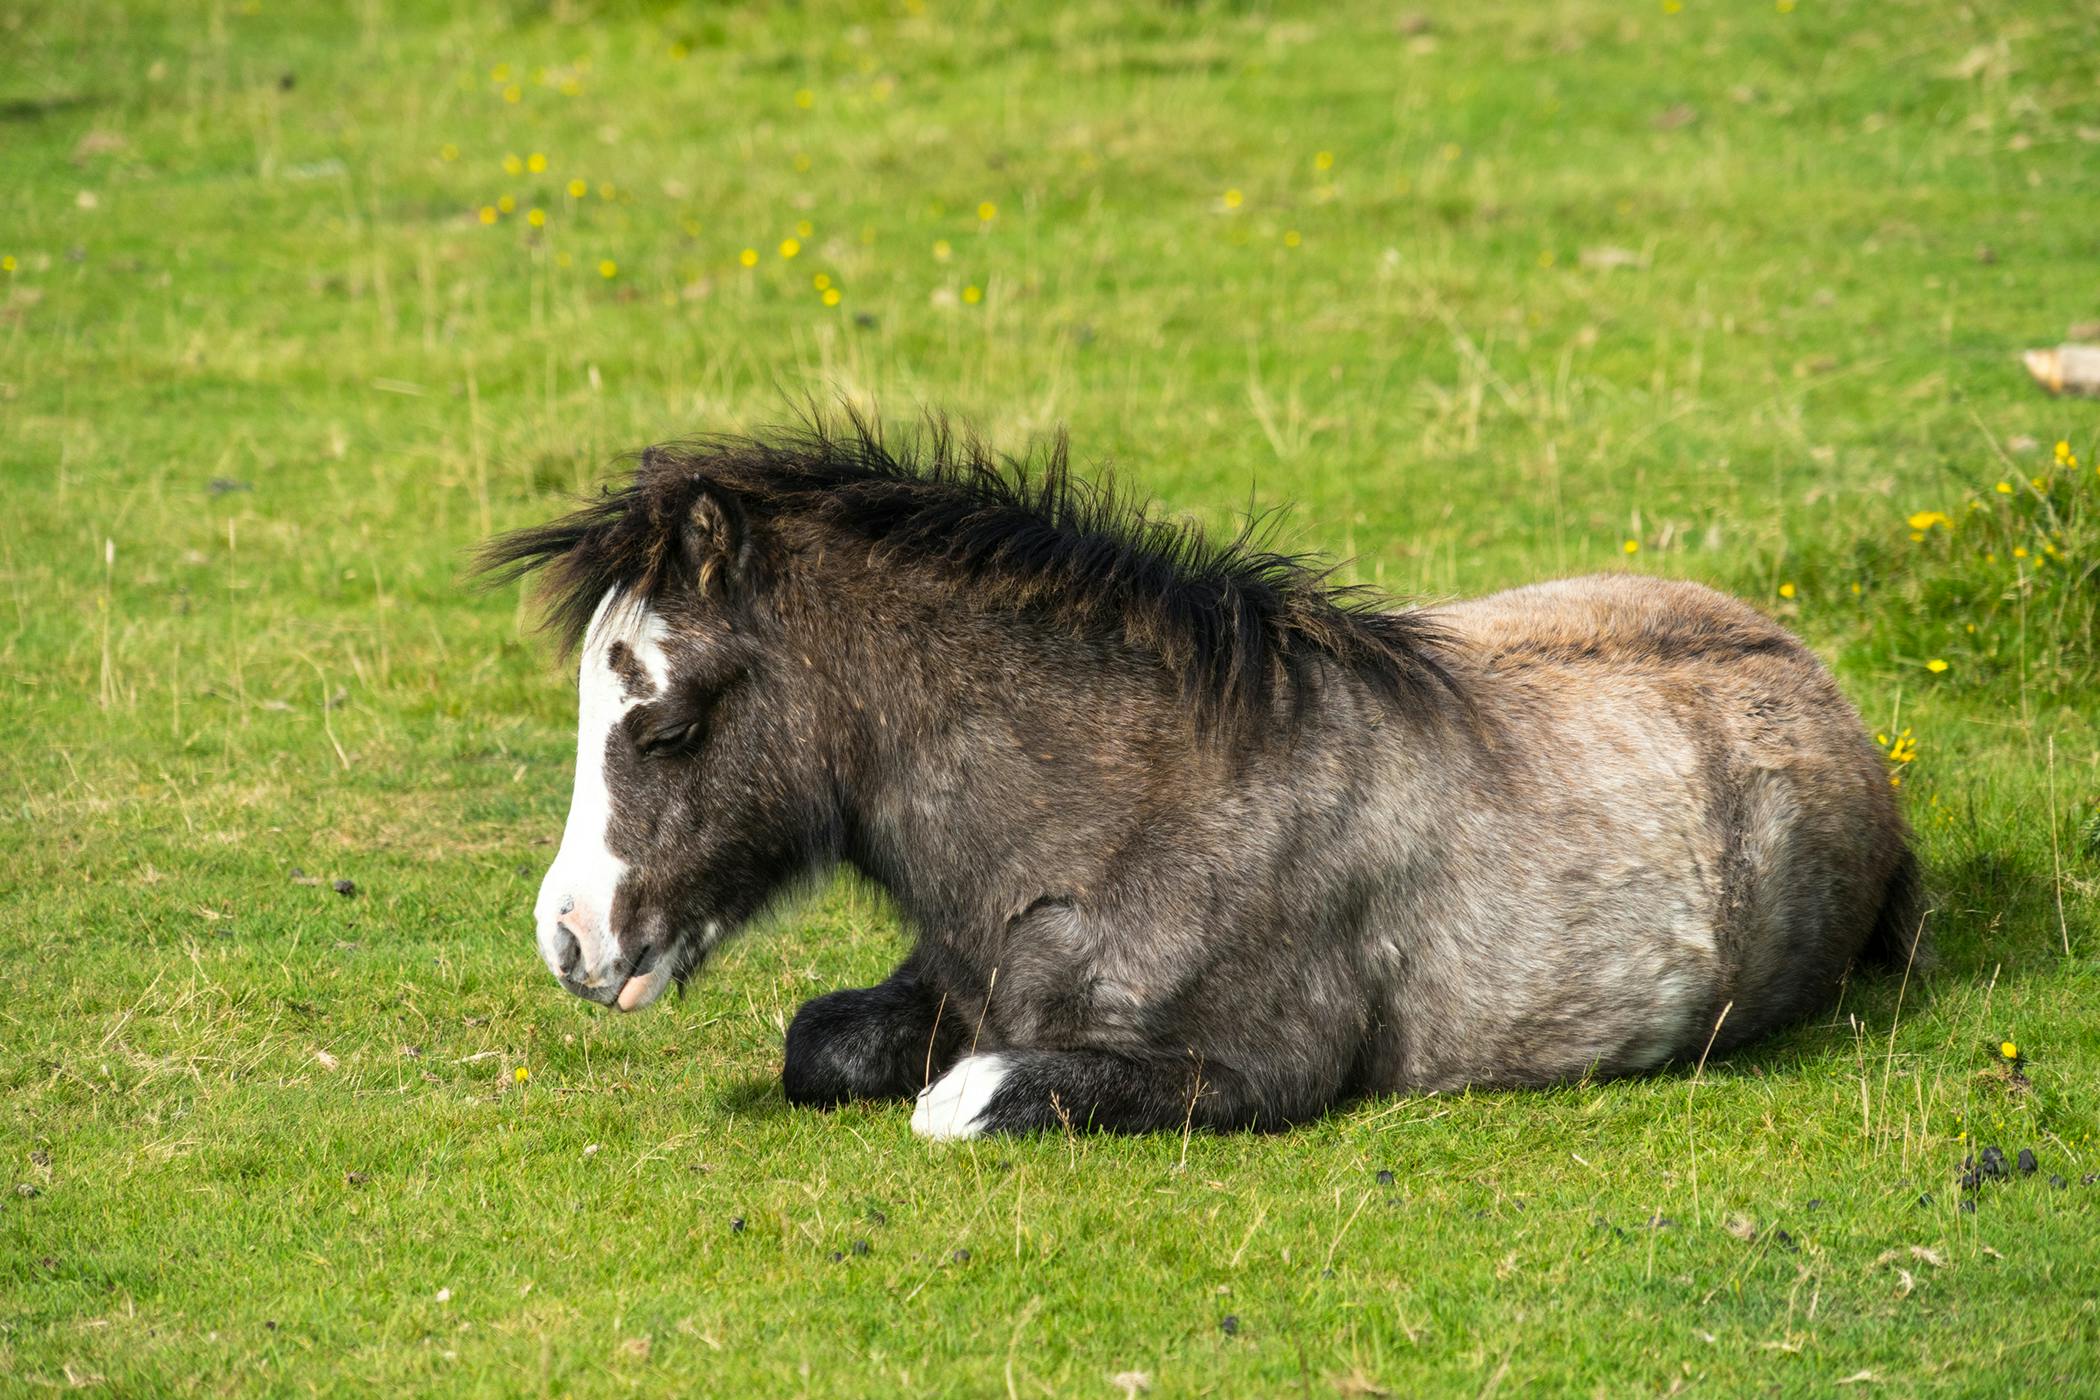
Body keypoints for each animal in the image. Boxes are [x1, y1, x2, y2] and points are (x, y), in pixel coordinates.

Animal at [476, 415, 1923, 1141]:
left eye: (666, 724)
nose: (571, 938)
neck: (1137, 808)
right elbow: (819, 1046)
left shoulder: (1259, 1074)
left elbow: (962, 1100)